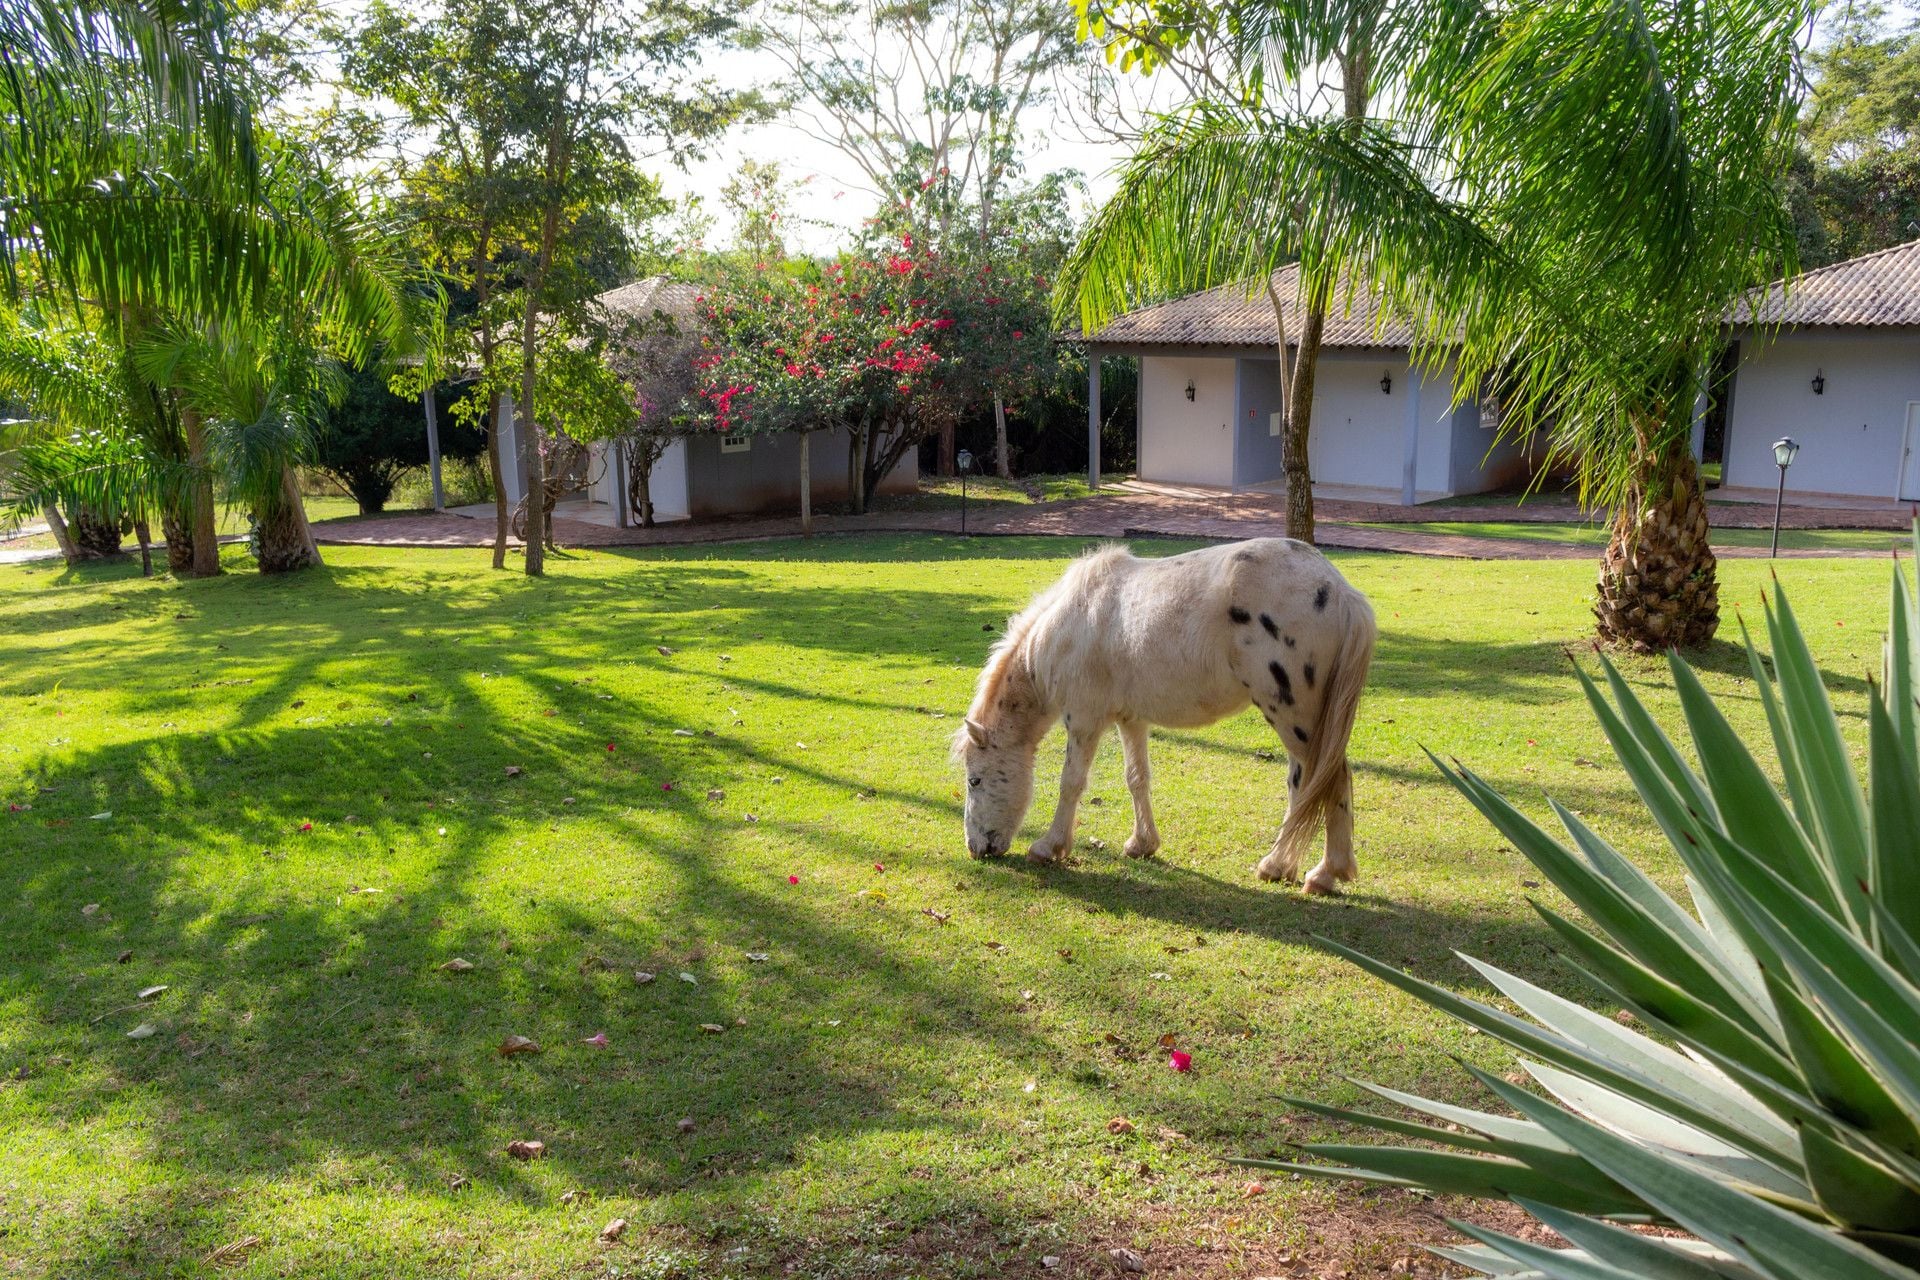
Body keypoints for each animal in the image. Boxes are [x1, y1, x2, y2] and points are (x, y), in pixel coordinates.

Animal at [952, 538, 1377, 893]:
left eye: (975, 780)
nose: (975, 848)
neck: (1068, 628)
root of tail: (1340, 591)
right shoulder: (1130, 719)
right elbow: (1137, 778)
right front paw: (1142, 844)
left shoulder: (1085, 720)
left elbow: (1071, 783)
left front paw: (1049, 847)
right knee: (1303, 784)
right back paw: (1280, 867)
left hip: (1295, 719)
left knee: (1331, 780)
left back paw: (1323, 874)